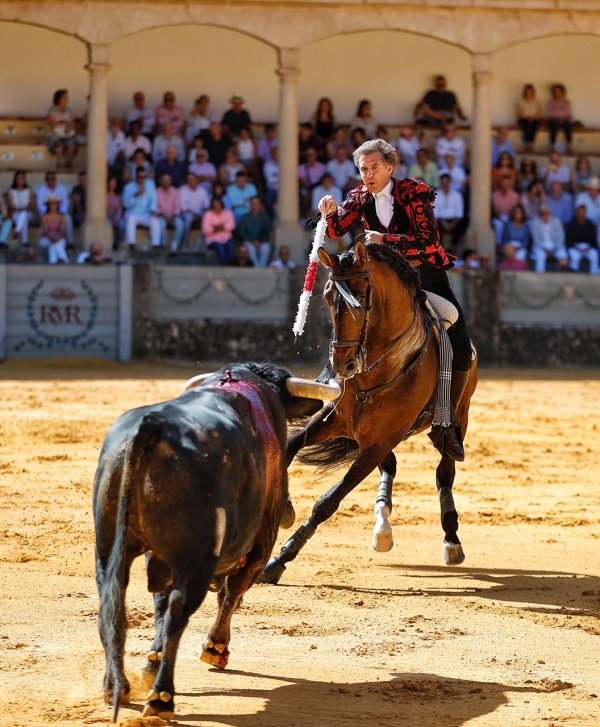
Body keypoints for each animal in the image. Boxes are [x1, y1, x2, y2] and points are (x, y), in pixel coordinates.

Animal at [93, 362, 340, 721]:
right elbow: (232, 592)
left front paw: (153, 660)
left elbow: (162, 603)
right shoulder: (259, 545)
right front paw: (215, 648)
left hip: (110, 546)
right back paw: (162, 698)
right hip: (197, 560)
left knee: (114, 603)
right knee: (178, 611)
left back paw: (117, 686)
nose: (288, 511)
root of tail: (152, 428)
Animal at [260, 240, 478, 584]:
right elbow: (290, 447)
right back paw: (382, 529)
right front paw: (284, 509)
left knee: (445, 472)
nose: (342, 365)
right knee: (391, 467)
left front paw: (280, 559)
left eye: (362, 299)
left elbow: (328, 502)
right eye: (327, 295)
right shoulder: (335, 420)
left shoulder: (376, 443)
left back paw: (451, 541)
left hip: (458, 418)